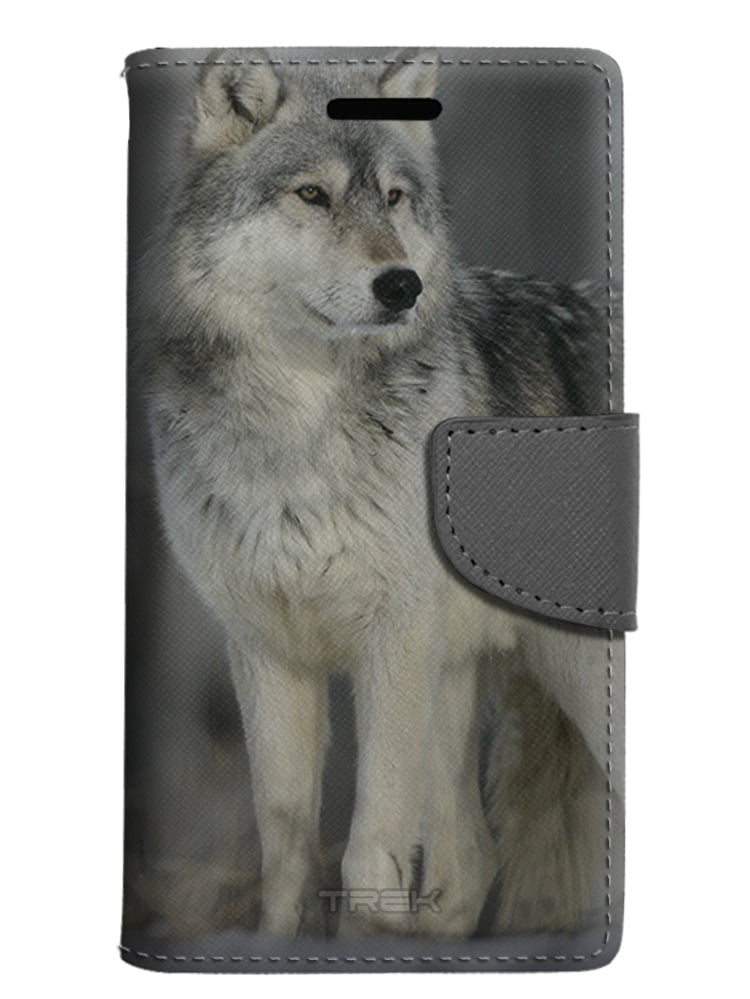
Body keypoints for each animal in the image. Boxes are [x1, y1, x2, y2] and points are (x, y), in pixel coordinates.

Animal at [135, 48, 621, 940]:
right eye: (312, 195)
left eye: (394, 198)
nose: (400, 285)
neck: (298, 426)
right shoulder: (269, 649)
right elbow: (286, 849)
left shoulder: (390, 641)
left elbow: (368, 856)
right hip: (456, 681)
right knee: (469, 864)